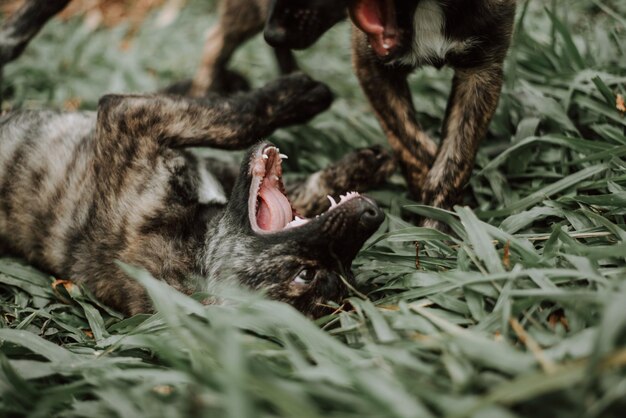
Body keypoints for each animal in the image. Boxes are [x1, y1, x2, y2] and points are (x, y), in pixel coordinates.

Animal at [0, 74, 390, 316]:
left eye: (343, 272)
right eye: (306, 275)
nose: (372, 215)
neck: (193, 250)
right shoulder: (130, 120)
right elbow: (234, 123)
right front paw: (296, 95)